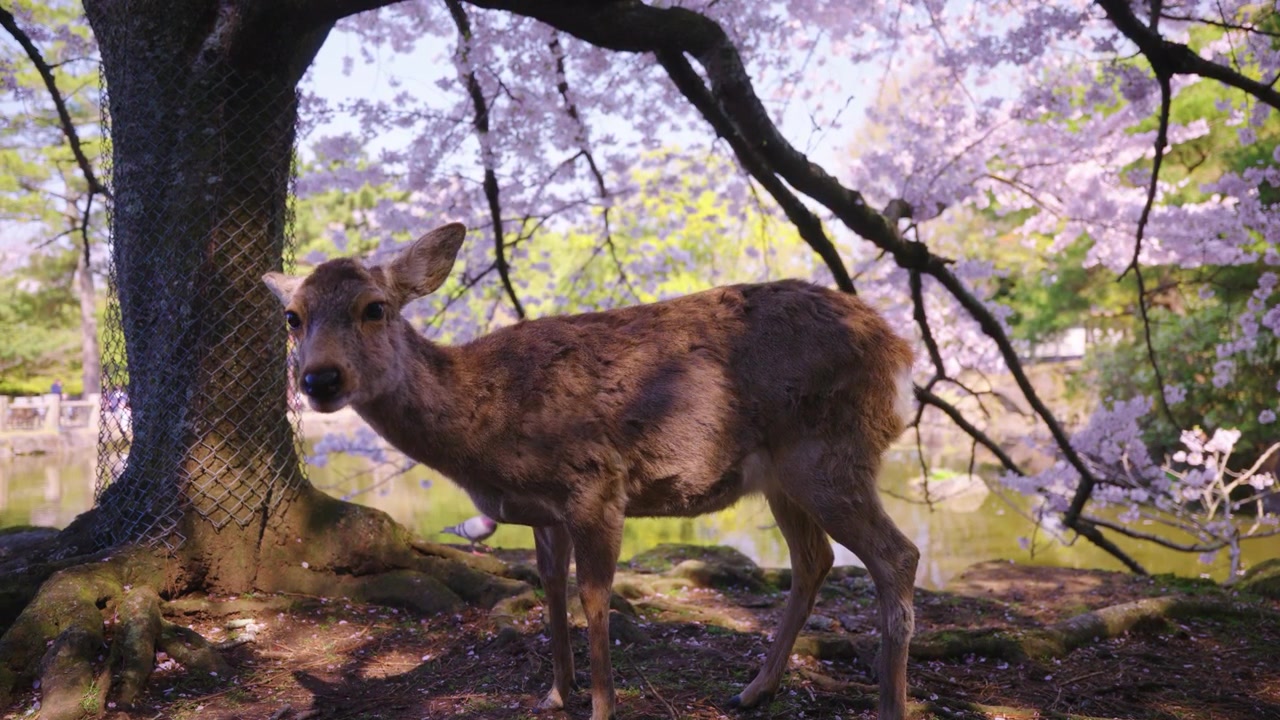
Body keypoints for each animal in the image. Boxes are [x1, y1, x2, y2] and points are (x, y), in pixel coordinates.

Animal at [264, 222, 920, 720]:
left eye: (374, 308)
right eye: (292, 317)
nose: (319, 379)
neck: (489, 430)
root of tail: (898, 351)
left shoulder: (597, 484)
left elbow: (594, 593)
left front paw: (602, 707)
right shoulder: (541, 508)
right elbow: (550, 585)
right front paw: (555, 693)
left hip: (829, 452)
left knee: (898, 555)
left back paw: (889, 705)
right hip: (786, 476)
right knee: (815, 559)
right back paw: (754, 690)